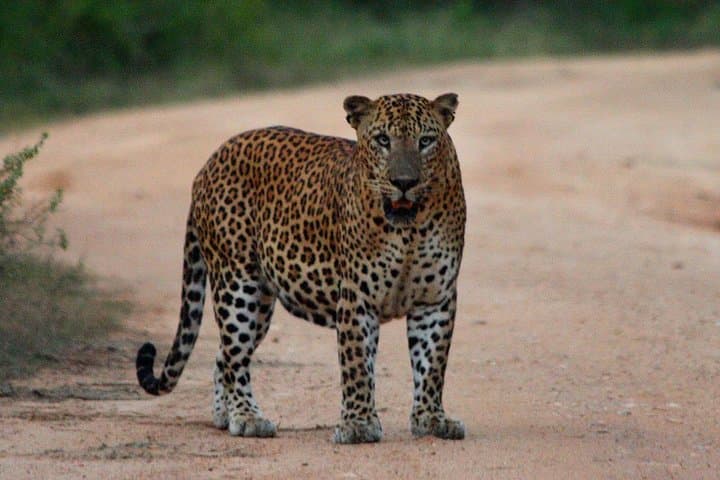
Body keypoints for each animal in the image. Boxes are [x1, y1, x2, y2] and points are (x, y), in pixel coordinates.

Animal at [136, 92, 466, 444]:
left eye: (425, 141)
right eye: (383, 140)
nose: (404, 182)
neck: (409, 230)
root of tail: (211, 160)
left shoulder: (435, 300)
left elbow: (432, 364)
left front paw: (432, 418)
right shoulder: (357, 298)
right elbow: (357, 364)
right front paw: (358, 424)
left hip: (261, 302)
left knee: (223, 356)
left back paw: (225, 415)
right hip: (237, 285)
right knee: (235, 357)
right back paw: (248, 417)